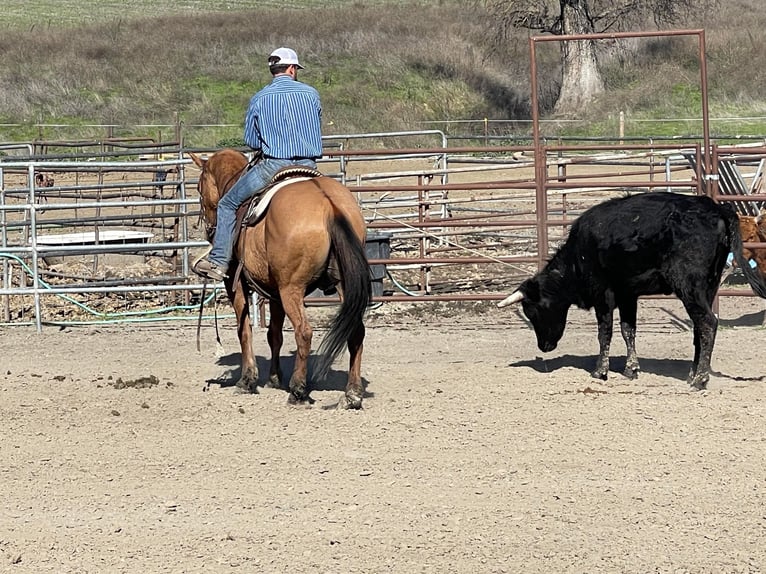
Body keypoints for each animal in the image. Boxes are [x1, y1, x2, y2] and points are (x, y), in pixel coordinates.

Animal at [190, 148, 374, 410]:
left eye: (198, 187)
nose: (208, 229)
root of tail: (330, 205)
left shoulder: (236, 283)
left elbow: (244, 330)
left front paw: (247, 380)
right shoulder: (274, 291)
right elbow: (274, 334)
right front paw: (274, 378)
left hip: (292, 288)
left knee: (304, 332)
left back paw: (298, 391)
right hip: (342, 285)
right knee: (356, 331)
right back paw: (352, 394)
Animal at [498, 194, 766, 392]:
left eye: (533, 311)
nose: (544, 347)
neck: (578, 255)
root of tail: (716, 208)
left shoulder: (602, 292)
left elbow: (605, 331)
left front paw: (600, 371)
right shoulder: (628, 295)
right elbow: (629, 330)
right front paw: (631, 368)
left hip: (689, 286)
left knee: (708, 323)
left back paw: (700, 379)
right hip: (709, 285)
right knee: (700, 327)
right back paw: (693, 373)